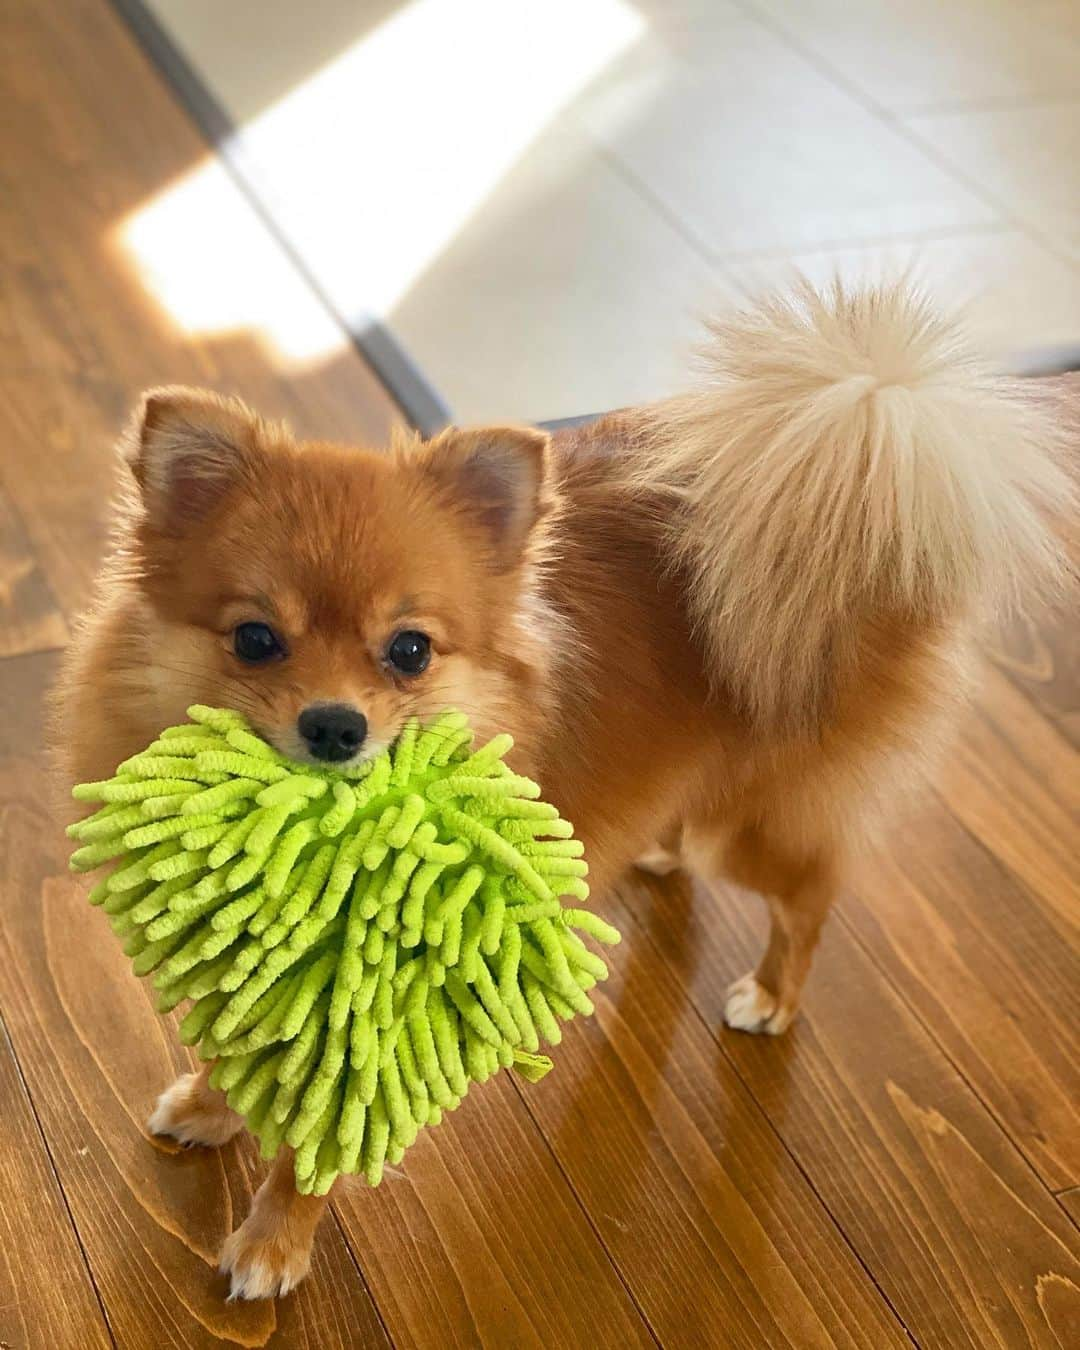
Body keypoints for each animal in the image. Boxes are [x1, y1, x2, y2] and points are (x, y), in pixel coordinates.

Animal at [57, 276, 1069, 1296]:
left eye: (409, 651)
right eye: (256, 639)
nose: (335, 725)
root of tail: (868, 467)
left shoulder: (376, 1005)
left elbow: (319, 1137)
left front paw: (274, 1241)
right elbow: (240, 1042)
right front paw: (212, 1106)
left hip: (758, 825)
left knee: (811, 898)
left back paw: (771, 997)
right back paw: (656, 856)